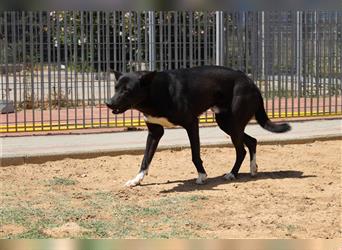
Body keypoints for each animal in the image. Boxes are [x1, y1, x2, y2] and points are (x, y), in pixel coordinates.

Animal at [105, 65, 290, 187]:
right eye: (115, 87)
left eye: (127, 90)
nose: (108, 103)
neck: (156, 92)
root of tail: (251, 82)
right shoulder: (155, 132)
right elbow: (145, 158)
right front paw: (137, 179)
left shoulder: (192, 124)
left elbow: (195, 154)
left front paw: (202, 175)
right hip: (226, 123)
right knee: (252, 141)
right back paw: (252, 169)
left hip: (234, 123)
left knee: (242, 150)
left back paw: (232, 173)